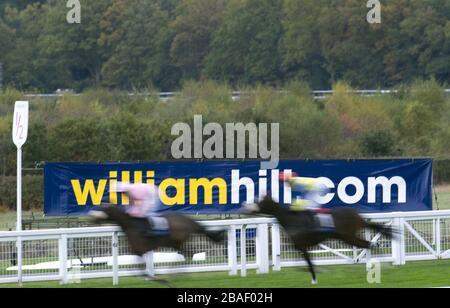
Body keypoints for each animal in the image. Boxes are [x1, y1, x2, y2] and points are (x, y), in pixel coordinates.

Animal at [243, 196, 394, 286]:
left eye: (261, 202)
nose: (248, 209)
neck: (292, 220)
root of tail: (357, 215)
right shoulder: (300, 247)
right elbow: (304, 265)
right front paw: (315, 276)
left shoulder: (302, 246)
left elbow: (309, 264)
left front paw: (315, 278)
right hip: (346, 237)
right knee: (369, 245)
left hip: (349, 236)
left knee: (368, 244)